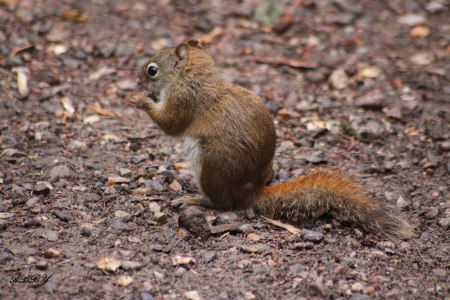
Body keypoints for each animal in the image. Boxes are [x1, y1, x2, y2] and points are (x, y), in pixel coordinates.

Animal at [130, 39, 414, 241]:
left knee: (218, 202)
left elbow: (170, 124)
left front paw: (140, 100)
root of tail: (250, 194)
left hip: (209, 165)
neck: (193, 76)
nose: (137, 80)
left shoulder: (183, 100)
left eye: (152, 70)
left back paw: (191, 200)